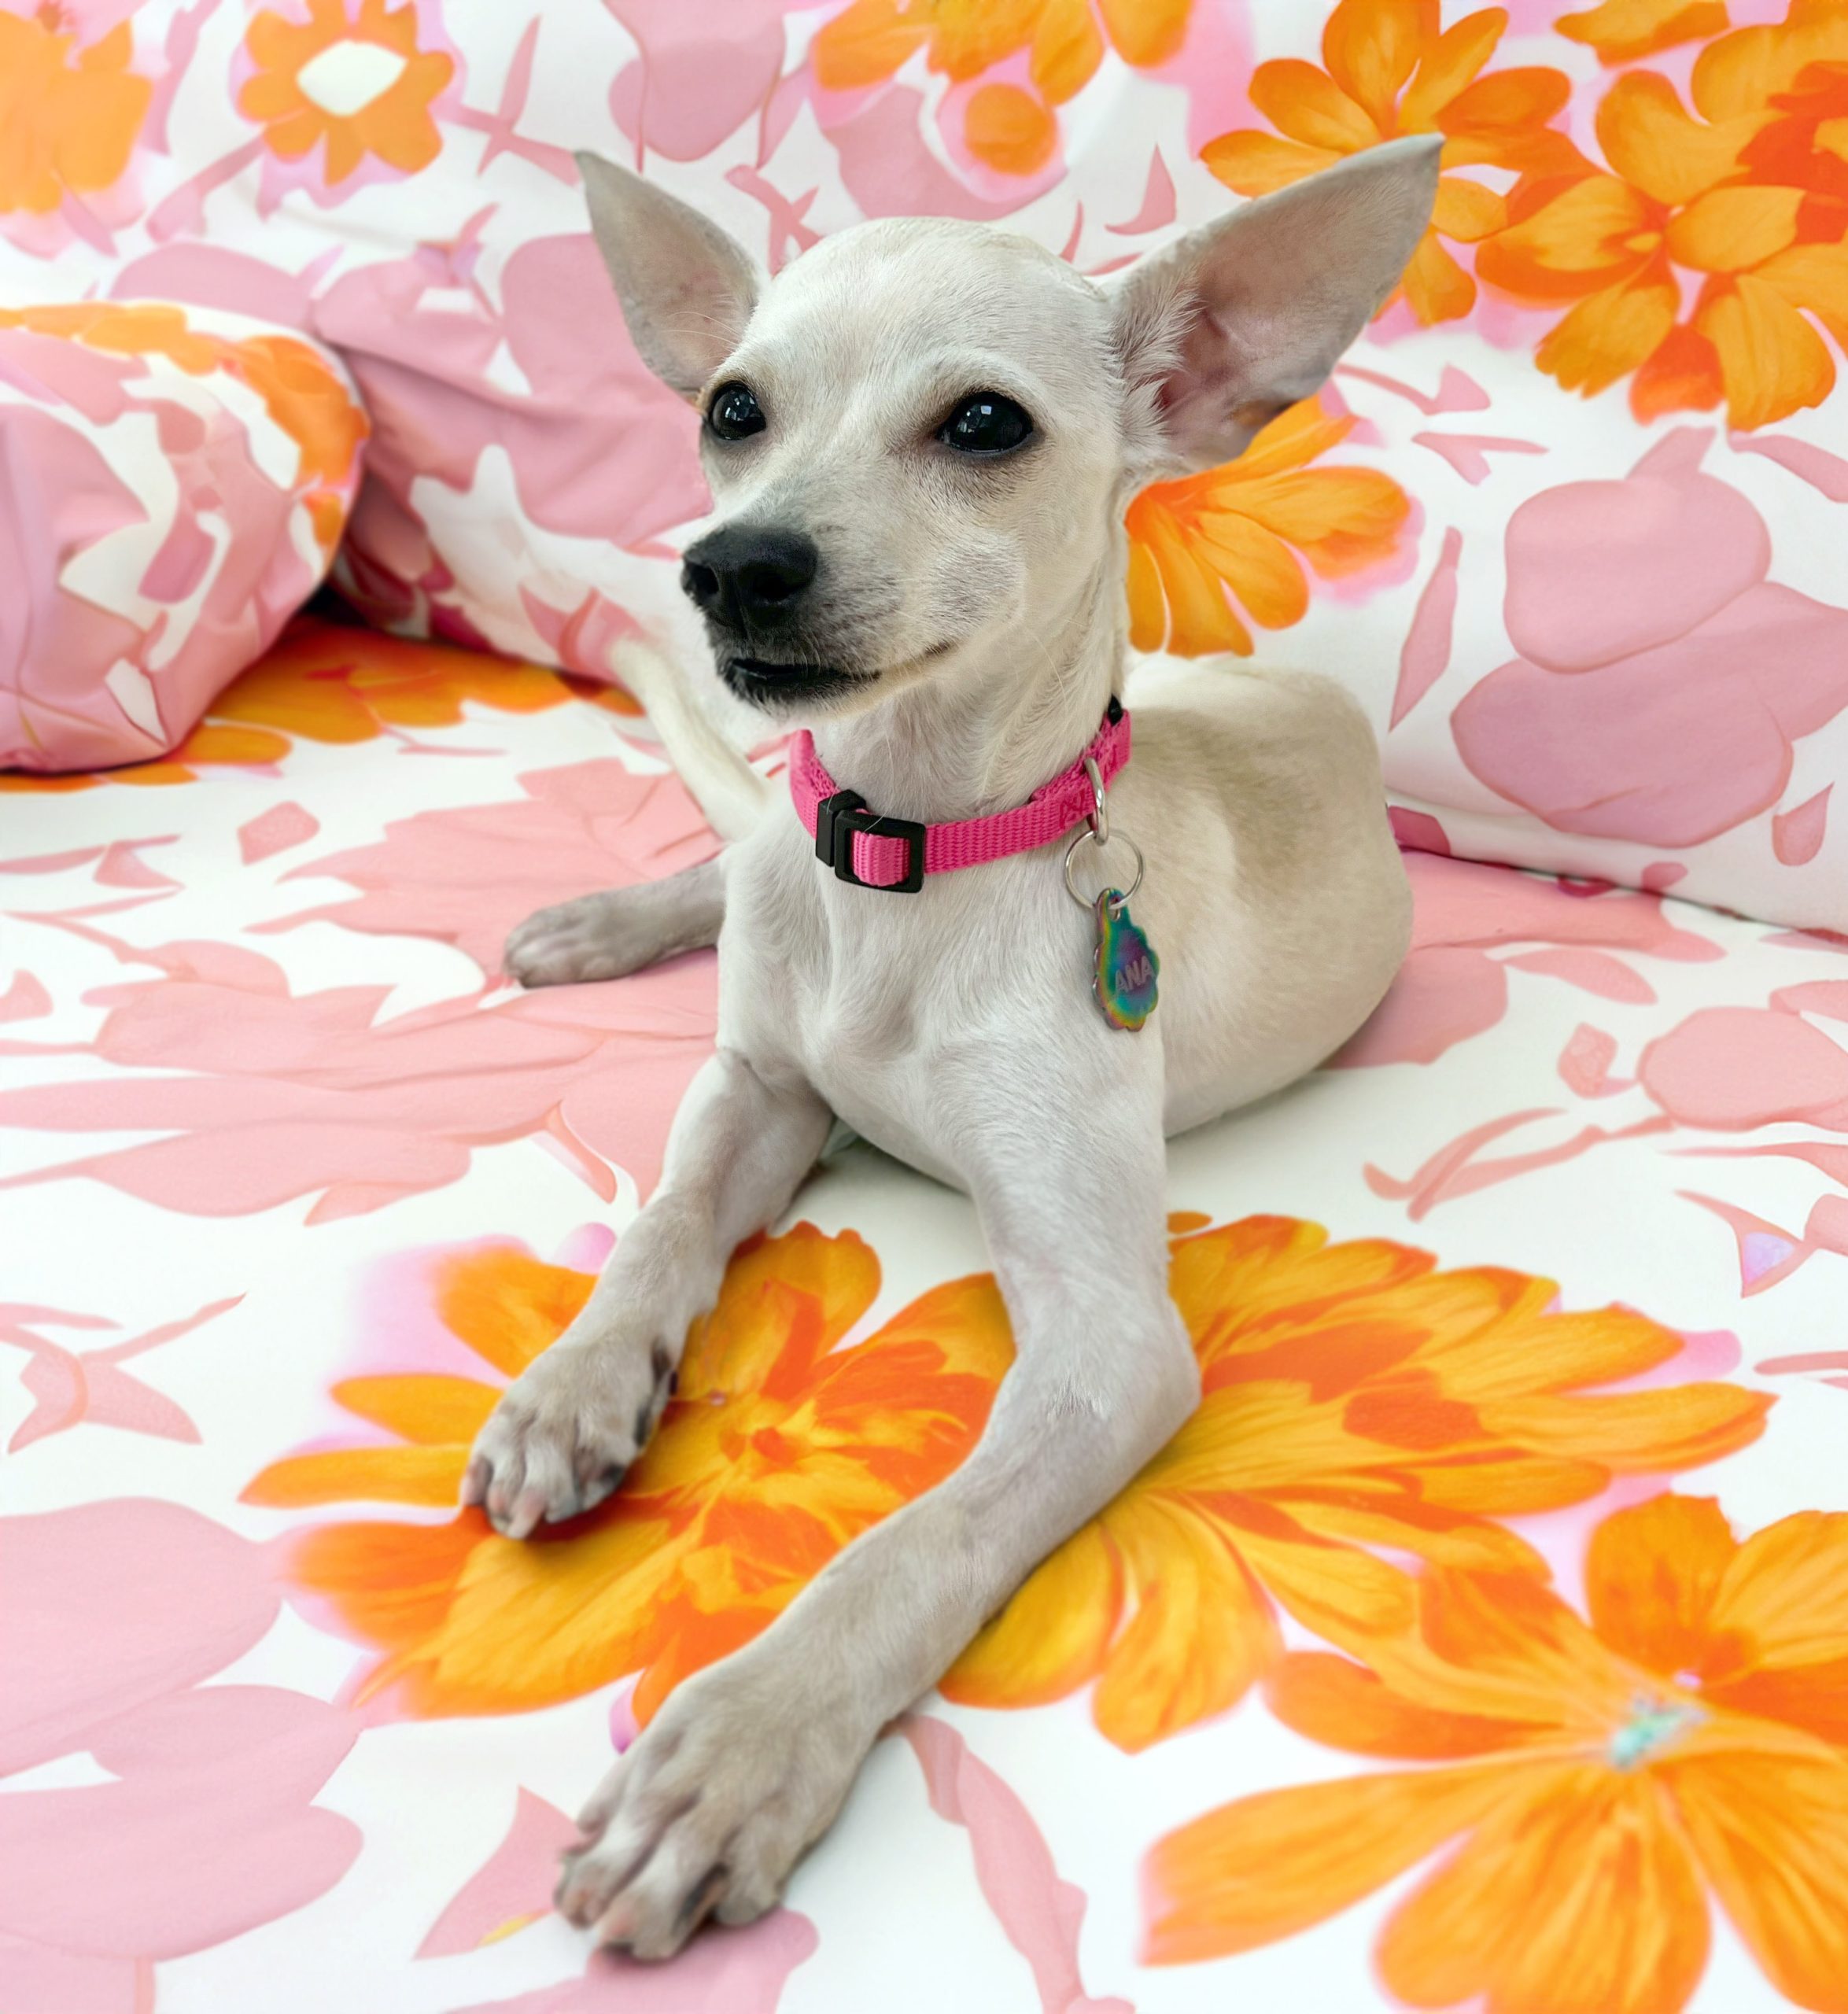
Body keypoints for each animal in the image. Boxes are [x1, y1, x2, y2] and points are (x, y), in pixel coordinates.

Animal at [467, 138, 1449, 1949]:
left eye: (983, 423)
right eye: (732, 407)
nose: (730, 564)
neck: (900, 849)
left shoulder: (1106, 1344)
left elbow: (912, 1541)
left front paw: (746, 1737)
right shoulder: (755, 1093)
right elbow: (656, 1230)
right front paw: (572, 1381)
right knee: (733, 848)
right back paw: (606, 918)